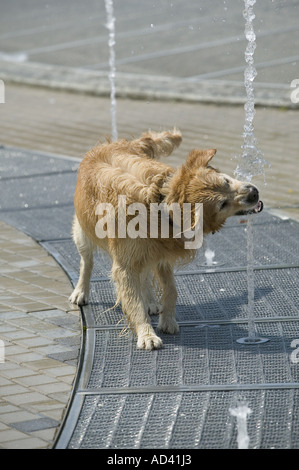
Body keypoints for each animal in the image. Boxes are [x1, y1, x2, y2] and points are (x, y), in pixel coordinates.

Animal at [69, 129, 262, 348]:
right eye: (222, 204)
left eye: (226, 181)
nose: (254, 193)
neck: (158, 203)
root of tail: (115, 143)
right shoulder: (125, 265)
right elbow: (134, 301)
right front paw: (146, 334)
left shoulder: (162, 255)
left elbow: (170, 290)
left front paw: (167, 319)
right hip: (83, 233)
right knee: (87, 262)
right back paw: (81, 291)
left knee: (144, 275)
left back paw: (151, 301)